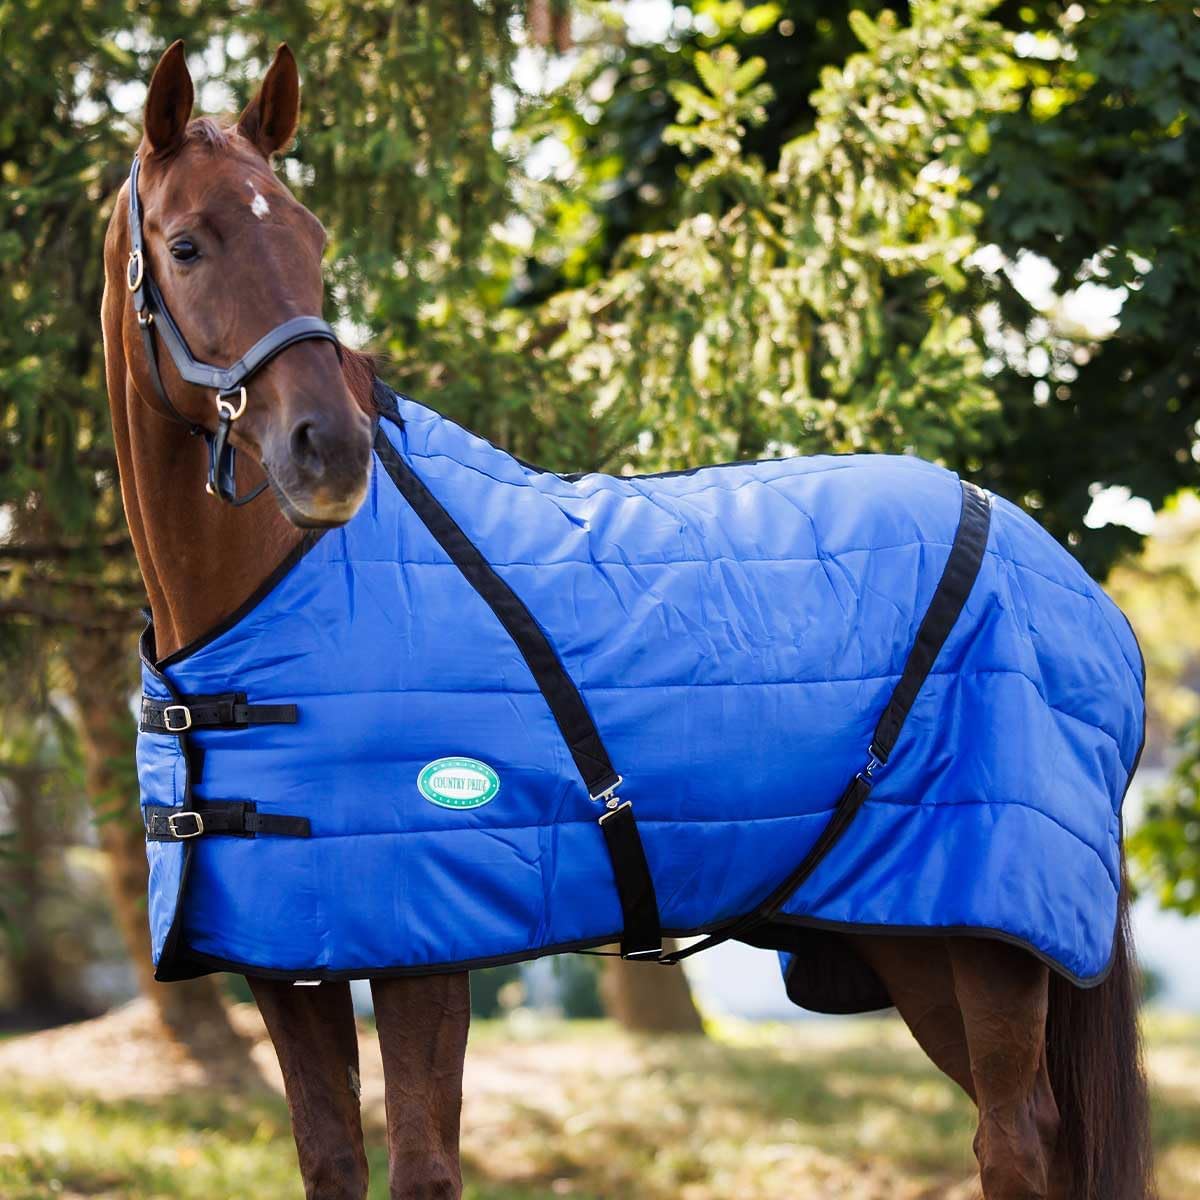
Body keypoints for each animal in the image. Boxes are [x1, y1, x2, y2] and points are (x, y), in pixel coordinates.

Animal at [100, 41, 1155, 1200]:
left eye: (311, 237)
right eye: (187, 246)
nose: (327, 450)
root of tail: (1065, 574)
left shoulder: (424, 950)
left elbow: (423, 1165)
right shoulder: (288, 960)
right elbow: (331, 1160)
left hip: (990, 939)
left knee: (1015, 1141)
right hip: (914, 936)